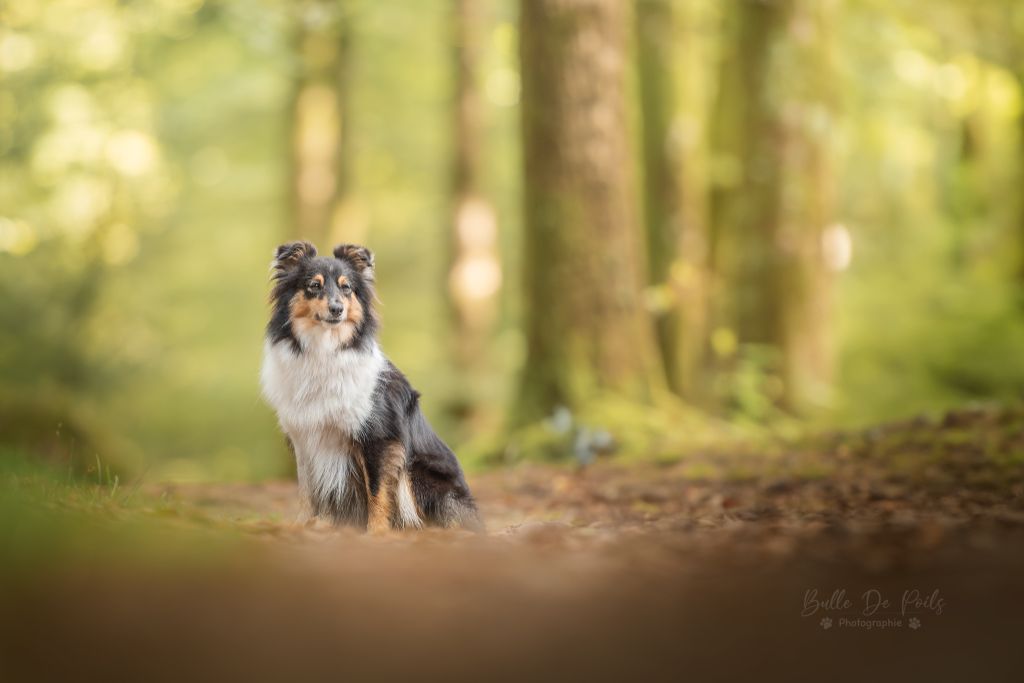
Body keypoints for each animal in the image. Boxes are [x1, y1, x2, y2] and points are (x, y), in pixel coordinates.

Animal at [256, 241, 479, 532]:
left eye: (346, 287)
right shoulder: (305, 438)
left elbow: (377, 490)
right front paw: (304, 525)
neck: (325, 350)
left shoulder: (378, 437)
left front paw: (376, 533)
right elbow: (307, 489)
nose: (337, 309)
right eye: (314, 285)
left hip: (419, 470)